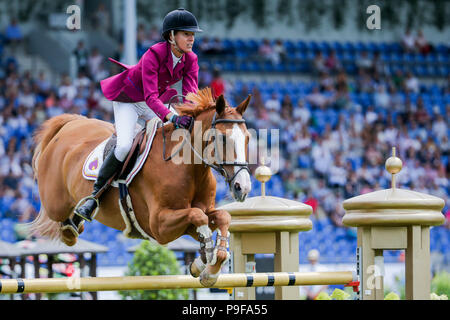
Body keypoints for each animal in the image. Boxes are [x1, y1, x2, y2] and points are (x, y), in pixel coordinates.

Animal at [27, 89, 253, 286]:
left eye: (248, 138)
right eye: (222, 138)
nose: (242, 187)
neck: (189, 168)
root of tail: (71, 124)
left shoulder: (196, 215)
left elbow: (222, 217)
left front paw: (208, 266)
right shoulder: (159, 226)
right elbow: (198, 216)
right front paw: (206, 255)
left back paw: (74, 226)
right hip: (55, 203)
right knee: (58, 215)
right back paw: (74, 223)